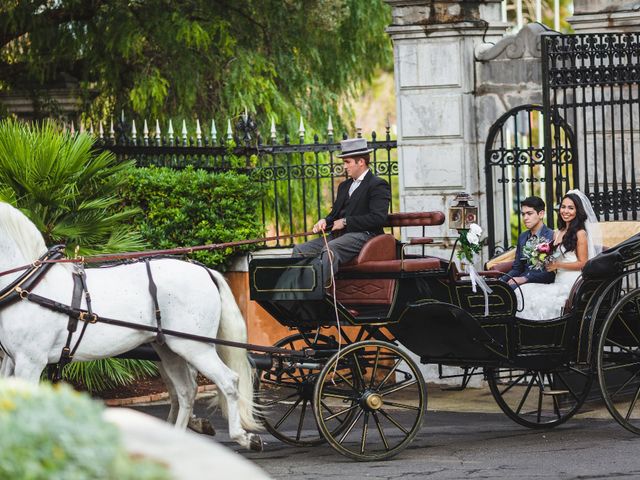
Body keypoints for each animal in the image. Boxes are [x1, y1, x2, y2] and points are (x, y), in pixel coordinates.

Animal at [0, 202, 262, 450]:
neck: (30, 286)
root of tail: (205, 271)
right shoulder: (12, 361)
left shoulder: (31, 362)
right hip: (170, 349)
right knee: (186, 391)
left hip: (195, 348)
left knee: (229, 381)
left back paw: (243, 437)